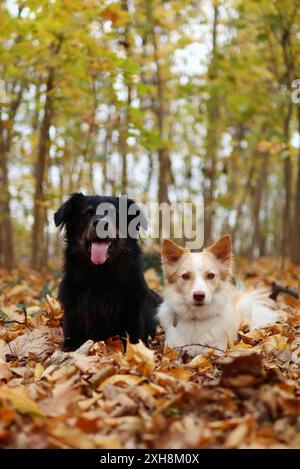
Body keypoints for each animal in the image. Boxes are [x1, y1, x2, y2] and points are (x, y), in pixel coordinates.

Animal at [54, 192, 159, 350]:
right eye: (88, 213)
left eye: (115, 214)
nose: (101, 224)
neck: (101, 278)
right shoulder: (72, 329)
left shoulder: (134, 331)